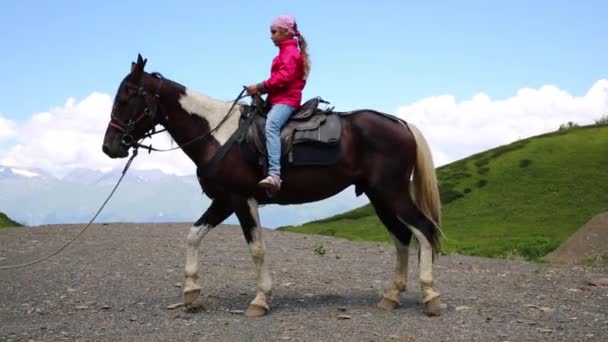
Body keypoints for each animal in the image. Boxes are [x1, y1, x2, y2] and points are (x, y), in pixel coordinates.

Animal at [100, 54, 442, 318]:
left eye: (127, 96)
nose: (109, 147)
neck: (216, 134)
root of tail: (401, 124)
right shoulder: (223, 200)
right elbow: (193, 235)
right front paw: (191, 293)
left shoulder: (240, 199)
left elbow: (257, 248)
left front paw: (260, 300)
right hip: (379, 196)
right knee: (401, 237)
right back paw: (391, 296)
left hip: (392, 192)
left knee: (424, 229)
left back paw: (429, 296)